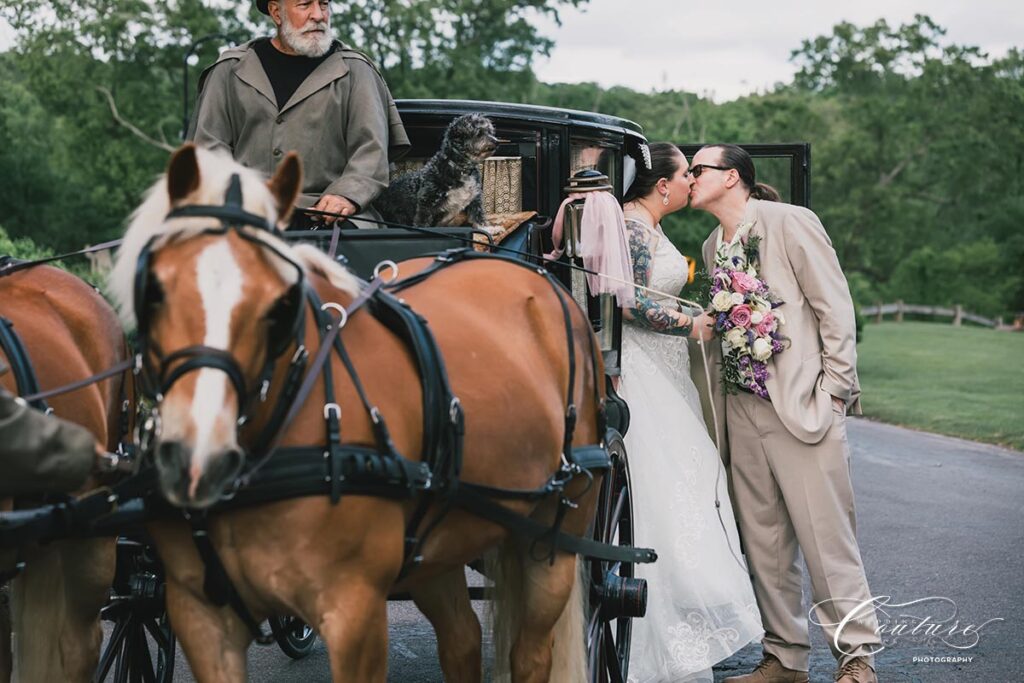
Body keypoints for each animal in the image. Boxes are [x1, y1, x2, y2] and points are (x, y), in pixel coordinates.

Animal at [105, 143, 598, 679]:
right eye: (153, 289)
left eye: (281, 302)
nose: (198, 460)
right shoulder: (200, 616)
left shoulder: (354, 613)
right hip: (439, 542)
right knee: (461, 642)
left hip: (555, 538)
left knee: (532, 653)